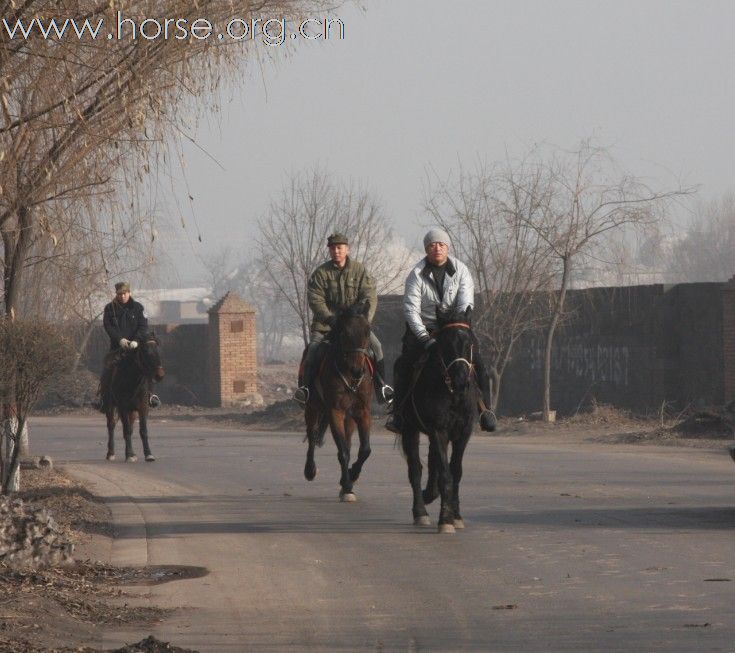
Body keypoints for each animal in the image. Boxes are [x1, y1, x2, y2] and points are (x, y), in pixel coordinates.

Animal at [104, 336, 165, 464]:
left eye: (159, 351)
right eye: (146, 352)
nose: (160, 375)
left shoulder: (143, 407)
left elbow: (142, 430)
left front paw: (148, 454)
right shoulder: (122, 407)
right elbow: (126, 429)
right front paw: (128, 455)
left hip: (132, 411)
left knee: (130, 427)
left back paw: (132, 453)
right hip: (110, 405)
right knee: (111, 424)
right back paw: (111, 453)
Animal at [304, 300, 374, 500]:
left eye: (367, 331)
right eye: (344, 333)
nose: (357, 371)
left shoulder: (362, 411)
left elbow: (364, 449)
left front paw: (351, 476)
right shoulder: (335, 411)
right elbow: (342, 451)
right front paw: (348, 484)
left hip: (349, 418)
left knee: (349, 442)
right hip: (312, 407)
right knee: (312, 435)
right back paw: (310, 470)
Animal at [400, 306, 480, 528]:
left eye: (470, 342)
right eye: (446, 344)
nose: (461, 381)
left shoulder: (463, 432)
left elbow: (455, 471)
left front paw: (457, 515)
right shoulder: (438, 429)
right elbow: (445, 474)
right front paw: (446, 519)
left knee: (432, 460)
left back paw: (430, 494)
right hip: (409, 429)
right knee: (415, 469)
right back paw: (420, 511)